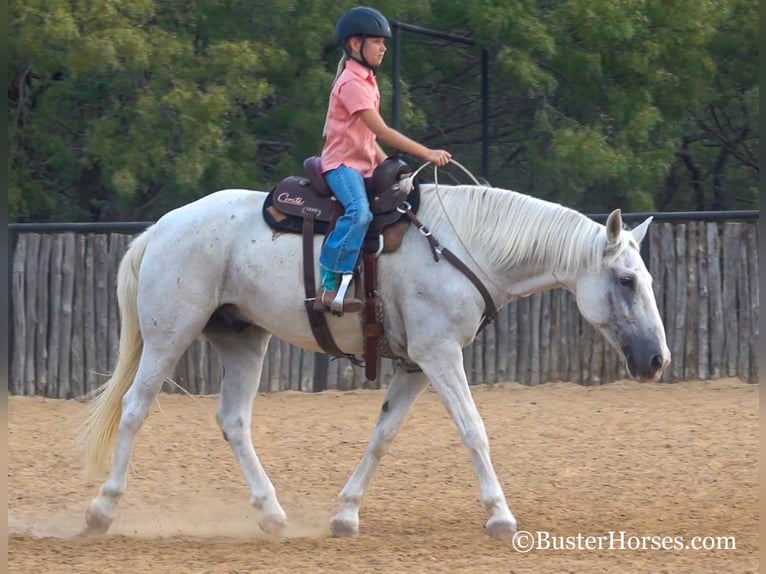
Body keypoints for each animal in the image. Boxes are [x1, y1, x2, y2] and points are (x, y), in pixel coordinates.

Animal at [79, 183, 672, 540]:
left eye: (645, 277)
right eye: (626, 280)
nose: (657, 359)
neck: (465, 247)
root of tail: (162, 228)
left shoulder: (415, 364)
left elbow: (383, 435)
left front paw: (345, 514)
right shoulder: (440, 355)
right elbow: (473, 430)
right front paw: (500, 516)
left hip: (242, 339)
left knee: (233, 420)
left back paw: (270, 512)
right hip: (169, 335)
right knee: (134, 409)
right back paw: (102, 510)